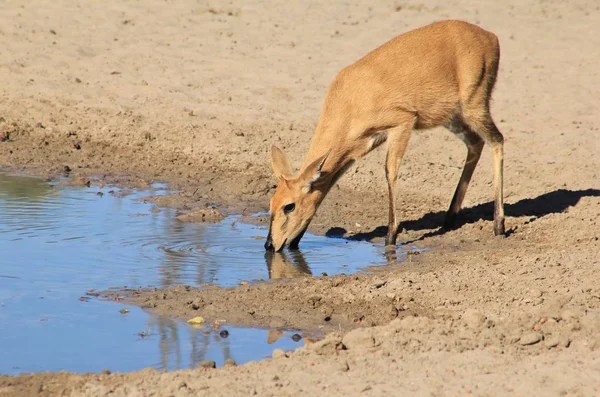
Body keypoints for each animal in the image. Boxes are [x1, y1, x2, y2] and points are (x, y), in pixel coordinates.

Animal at [264, 19, 504, 251]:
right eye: (271, 203)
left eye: (289, 206)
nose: (269, 244)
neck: (350, 101)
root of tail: (491, 37)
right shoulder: (360, 147)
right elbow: (330, 182)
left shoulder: (403, 122)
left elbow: (390, 171)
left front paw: (390, 237)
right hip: (453, 117)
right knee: (476, 143)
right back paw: (450, 218)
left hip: (474, 105)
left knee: (497, 140)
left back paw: (499, 225)